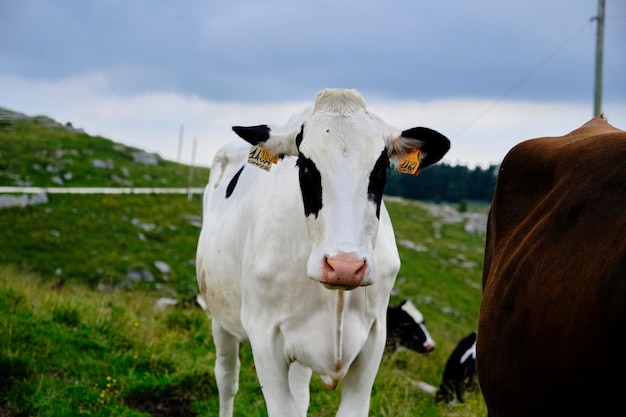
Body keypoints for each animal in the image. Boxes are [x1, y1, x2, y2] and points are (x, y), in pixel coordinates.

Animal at [197, 88, 446, 416]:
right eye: (304, 165)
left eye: (381, 169)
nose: (344, 266)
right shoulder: (264, 339)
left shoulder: (374, 339)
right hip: (219, 314)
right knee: (227, 379)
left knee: (300, 393)